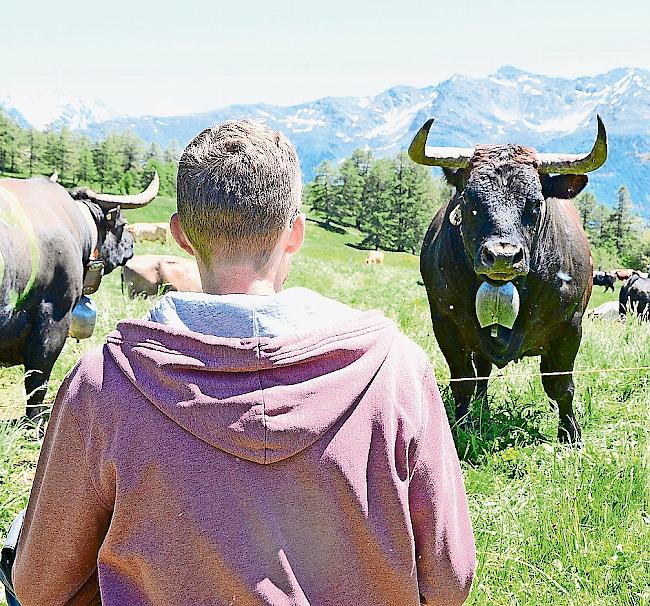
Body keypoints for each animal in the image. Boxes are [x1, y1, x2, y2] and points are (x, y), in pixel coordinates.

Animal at [410, 116, 608, 444]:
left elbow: (561, 386)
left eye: (536, 204)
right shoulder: (445, 323)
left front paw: (570, 435)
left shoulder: (570, 327)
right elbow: (463, 379)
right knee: (481, 372)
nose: (503, 256)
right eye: (469, 199)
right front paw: (462, 426)